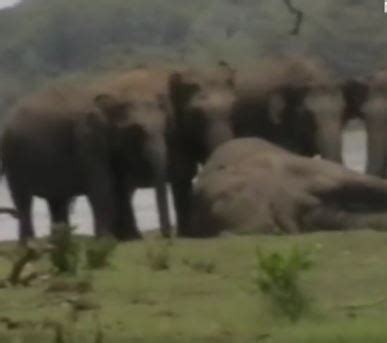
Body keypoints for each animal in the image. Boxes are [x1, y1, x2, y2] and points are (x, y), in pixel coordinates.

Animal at [0, 68, 173, 243]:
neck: (118, 95)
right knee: (24, 200)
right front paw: (107, 239)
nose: (167, 235)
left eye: (165, 127)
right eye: (137, 131)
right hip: (13, 158)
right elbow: (102, 185)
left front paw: (130, 238)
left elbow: (121, 185)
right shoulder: (87, 139)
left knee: (57, 201)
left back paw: (59, 241)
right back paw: (29, 243)